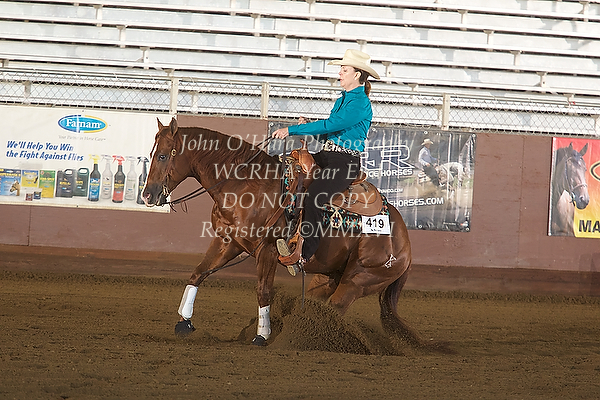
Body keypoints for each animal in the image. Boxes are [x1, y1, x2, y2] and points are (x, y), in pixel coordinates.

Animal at [142, 117, 438, 349]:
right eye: (151, 152)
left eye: (163, 155)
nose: (147, 195)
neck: (245, 184)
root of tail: (404, 242)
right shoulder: (228, 242)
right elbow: (198, 273)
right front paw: (184, 322)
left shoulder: (267, 250)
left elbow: (263, 291)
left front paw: (262, 336)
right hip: (328, 277)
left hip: (360, 279)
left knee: (336, 308)